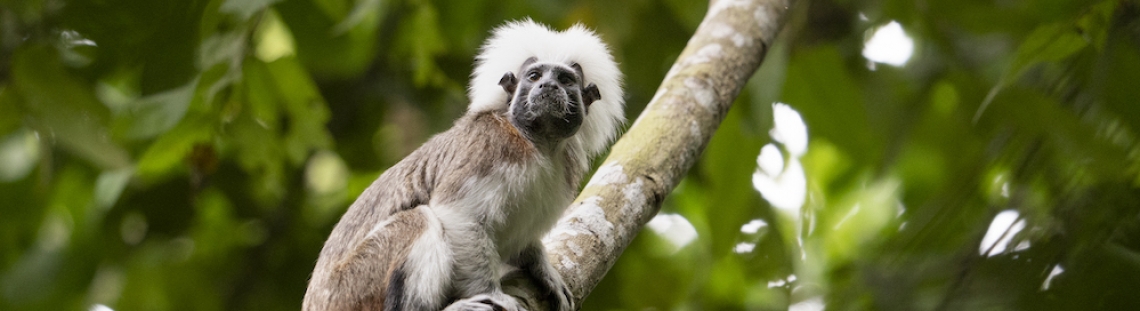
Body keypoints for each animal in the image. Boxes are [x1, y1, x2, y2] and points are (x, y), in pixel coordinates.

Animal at [303, 19, 624, 309]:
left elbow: (520, 240)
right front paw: (492, 293)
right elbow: (459, 214)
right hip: (353, 287)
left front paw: (541, 267)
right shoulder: (491, 147)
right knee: (419, 219)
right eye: (534, 76)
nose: (548, 86)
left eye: (565, 79)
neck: (539, 145)